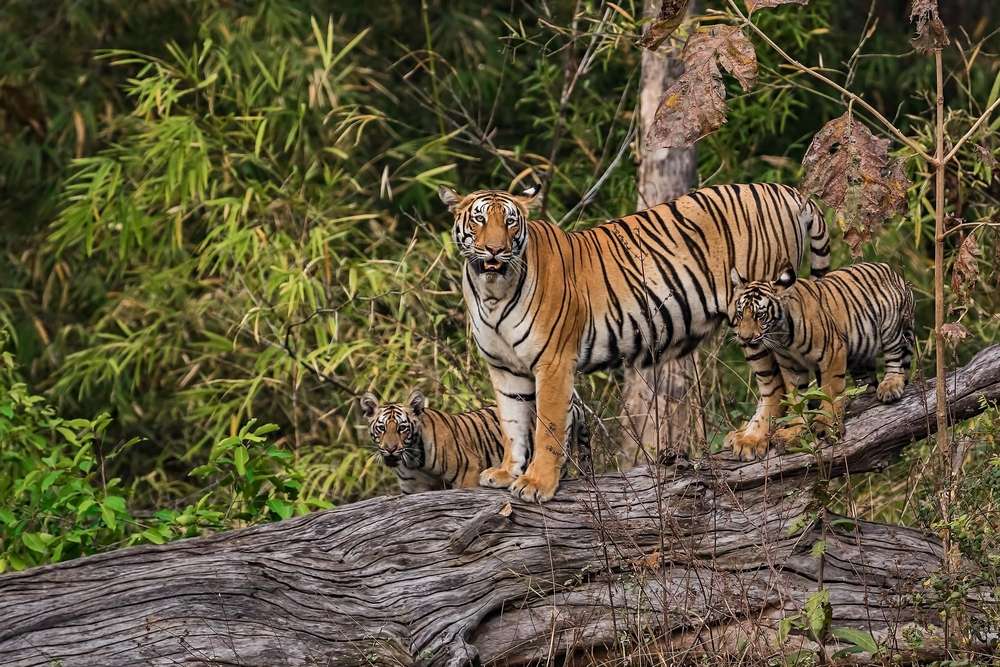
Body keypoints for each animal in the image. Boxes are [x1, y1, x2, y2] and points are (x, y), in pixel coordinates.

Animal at [359, 390, 591, 494]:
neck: (413, 462)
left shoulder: (468, 473)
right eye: (381, 428)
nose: (390, 449)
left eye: (402, 428)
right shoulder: (414, 489)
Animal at [438, 182, 831, 501]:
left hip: (755, 320)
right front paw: (507, 472)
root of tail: (787, 191)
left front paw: (538, 484)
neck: (493, 292)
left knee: (779, 383)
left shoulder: (552, 362)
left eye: (510, 222)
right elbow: (513, 424)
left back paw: (762, 439)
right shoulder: (504, 368)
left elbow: (547, 427)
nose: (494, 250)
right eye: (478, 220)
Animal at [728, 261, 914, 444]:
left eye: (759, 315)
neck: (781, 336)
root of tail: (893, 271)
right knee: (867, 380)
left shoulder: (833, 353)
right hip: (860, 352)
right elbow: (797, 397)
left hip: (891, 327)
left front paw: (827, 425)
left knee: (895, 357)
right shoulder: (791, 366)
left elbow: (831, 391)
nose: (744, 338)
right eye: (740, 314)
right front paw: (794, 430)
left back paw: (891, 386)